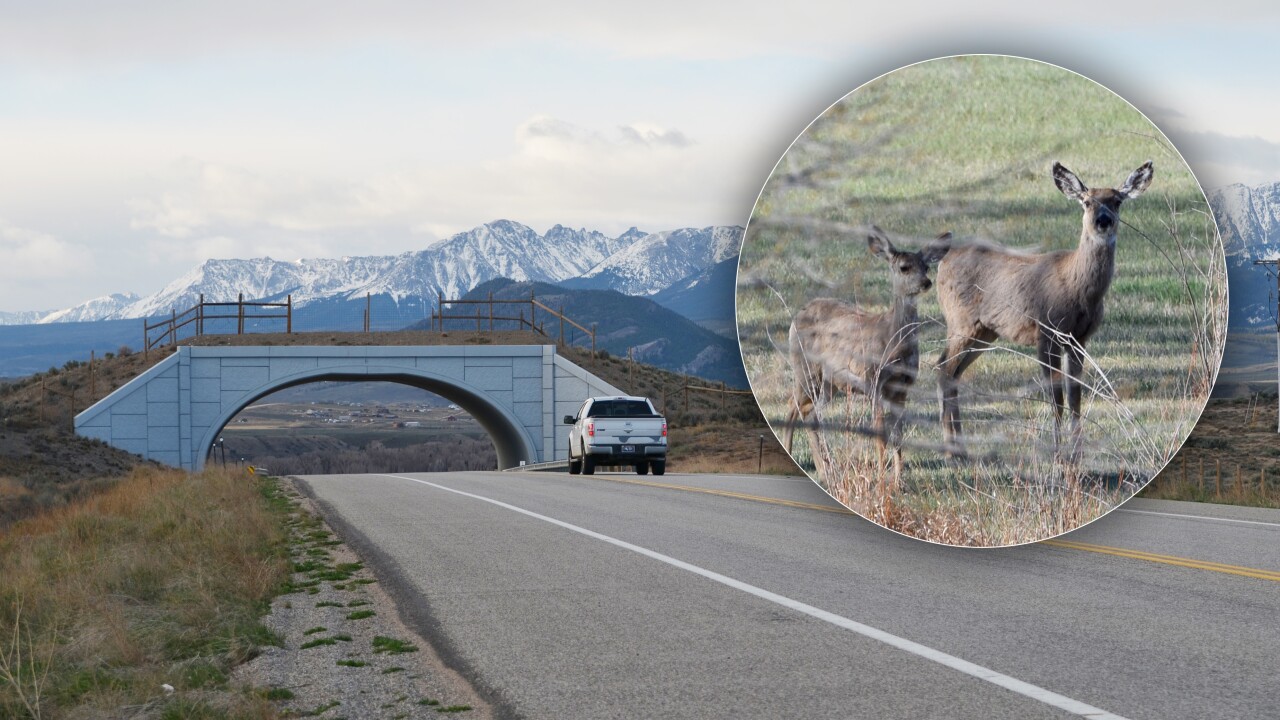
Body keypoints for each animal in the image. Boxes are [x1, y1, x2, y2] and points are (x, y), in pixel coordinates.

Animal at [784, 226, 951, 480]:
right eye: (904, 267)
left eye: (926, 267)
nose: (926, 282)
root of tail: (797, 317)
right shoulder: (874, 380)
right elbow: (880, 435)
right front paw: (882, 479)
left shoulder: (903, 387)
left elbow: (898, 436)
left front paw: (898, 481)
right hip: (805, 367)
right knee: (794, 407)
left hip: (830, 382)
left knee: (809, 411)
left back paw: (824, 468)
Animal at [935, 161, 1154, 462]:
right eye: (1087, 201)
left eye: (1117, 201)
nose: (1103, 221)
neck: (1075, 287)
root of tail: (942, 260)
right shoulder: (1046, 331)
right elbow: (1056, 396)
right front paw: (1057, 453)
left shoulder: (1079, 338)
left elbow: (1074, 395)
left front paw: (1076, 452)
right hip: (960, 321)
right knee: (943, 367)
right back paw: (950, 450)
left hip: (985, 331)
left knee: (953, 372)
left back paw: (960, 447)